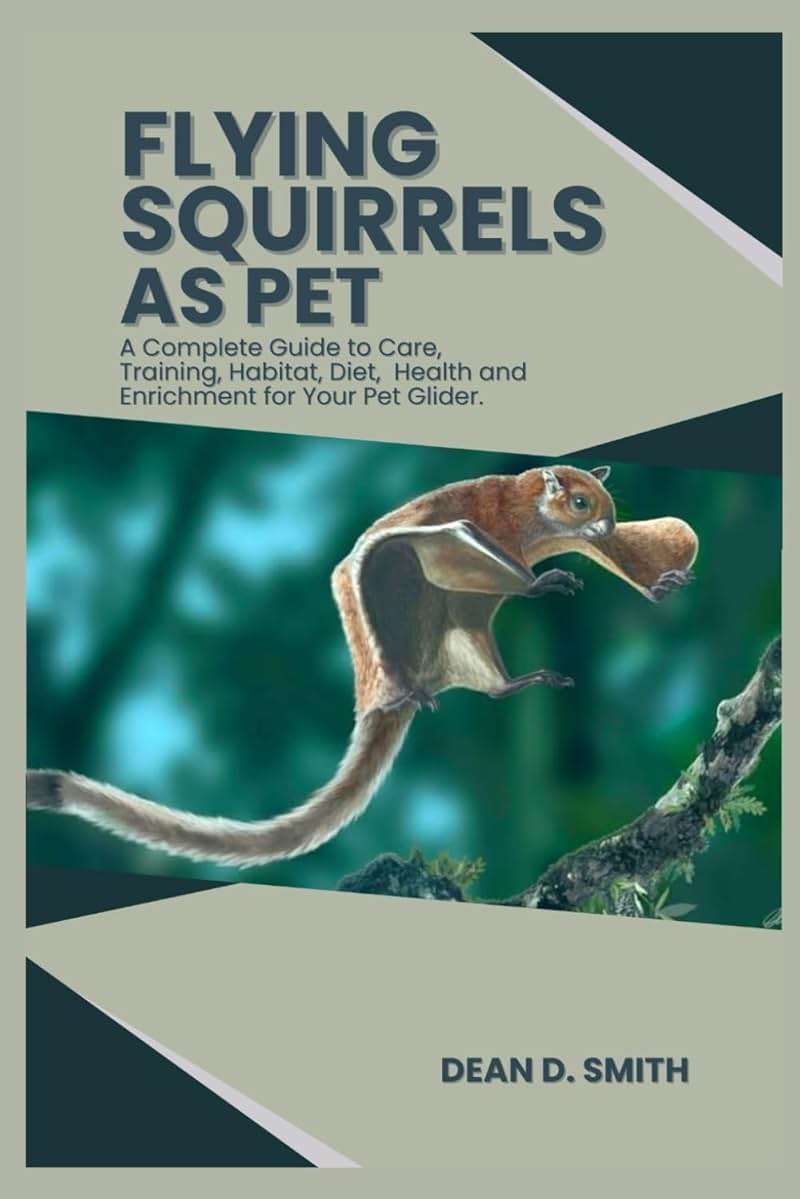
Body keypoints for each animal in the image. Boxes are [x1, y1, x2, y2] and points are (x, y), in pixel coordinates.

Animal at [26, 464, 698, 867]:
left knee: (493, 683)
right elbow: (476, 546)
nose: (605, 524)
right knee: (404, 573)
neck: (527, 516)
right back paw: (414, 691)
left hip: (464, 634)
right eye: (581, 500)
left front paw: (656, 583)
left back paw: (514, 680)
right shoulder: (472, 529)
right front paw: (542, 584)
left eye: (606, 504)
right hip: (395, 609)